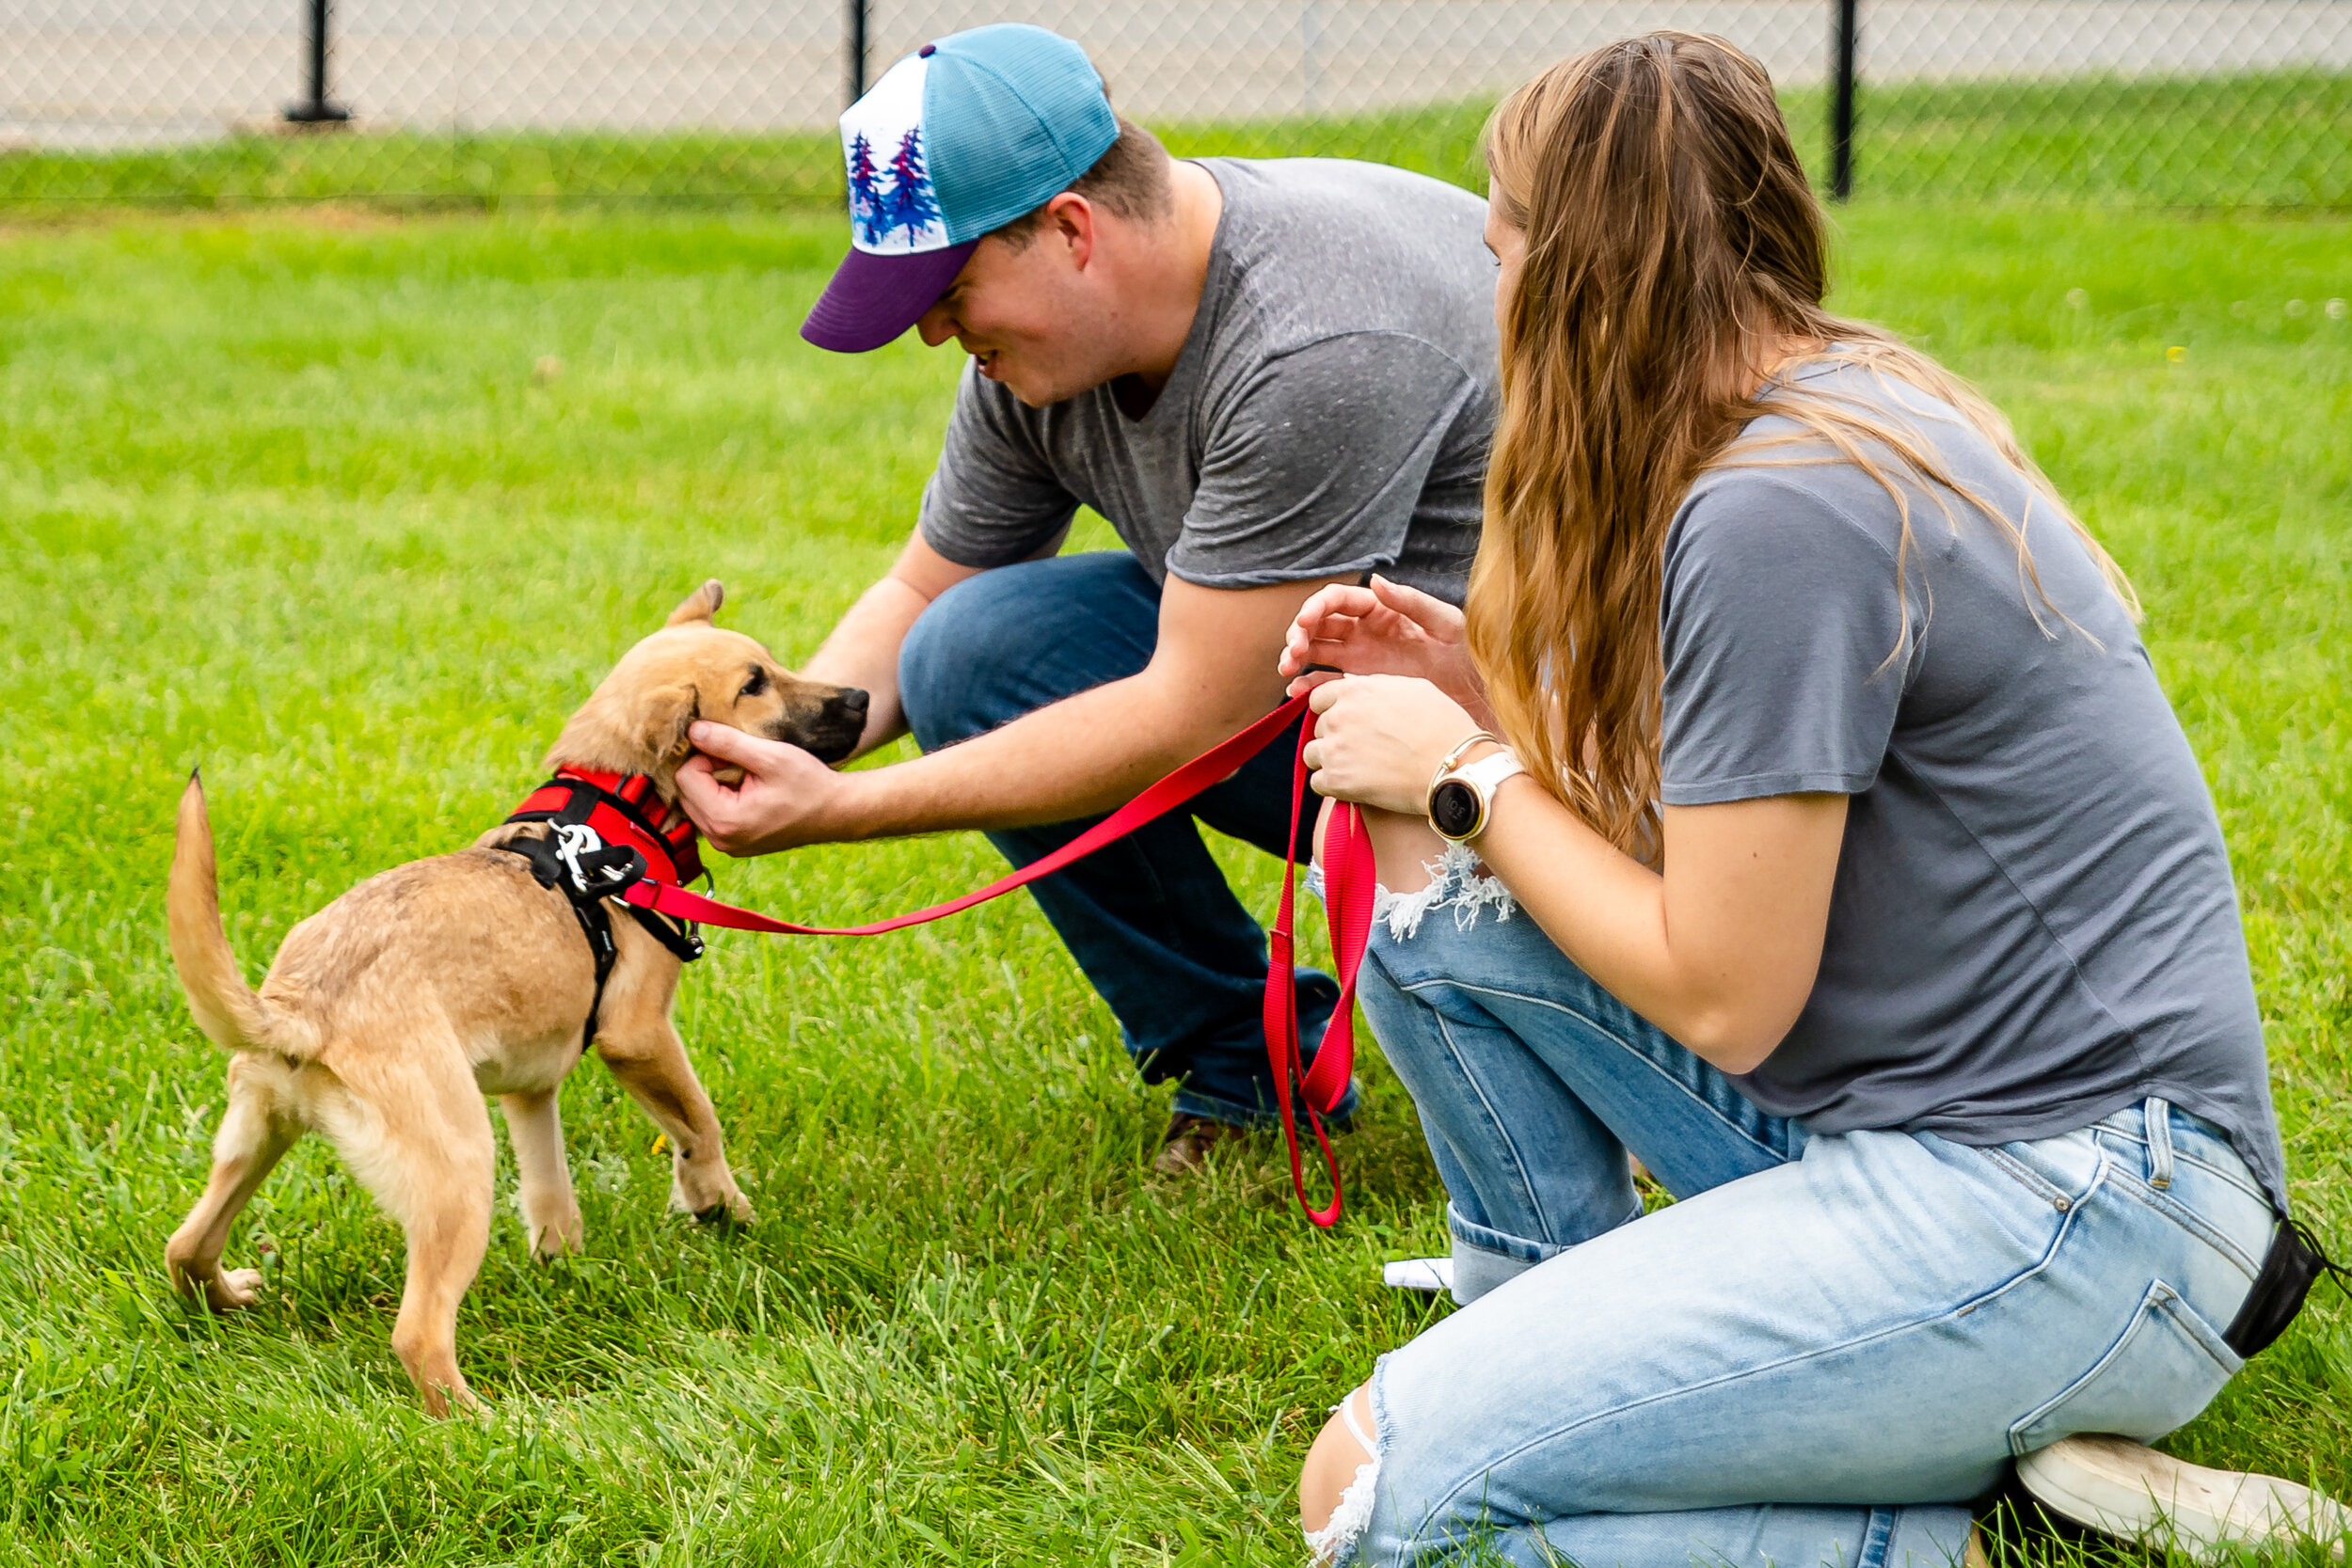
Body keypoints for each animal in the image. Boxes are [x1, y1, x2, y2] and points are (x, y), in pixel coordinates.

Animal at [163, 582, 866, 1419]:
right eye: (755, 684)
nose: (862, 696)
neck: (614, 809)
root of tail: (304, 1005)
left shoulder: (530, 1089)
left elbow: (550, 1185)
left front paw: (564, 1259)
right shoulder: (638, 1033)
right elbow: (700, 1122)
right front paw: (719, 1205)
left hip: (255, 1134)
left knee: (184, 1246)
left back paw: (229, 1296)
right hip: (457, 1168)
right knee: (418, 1331)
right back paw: (485, 1422)